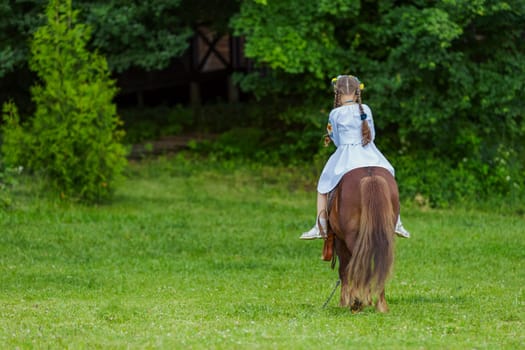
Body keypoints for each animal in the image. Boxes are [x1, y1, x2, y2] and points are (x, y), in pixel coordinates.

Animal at [328, 165, 398, 314]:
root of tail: (371, 176)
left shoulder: (340, 241)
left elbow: (344, 270)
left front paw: (345, 301)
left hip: (351, 239)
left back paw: (357, 303)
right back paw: (380, 305)